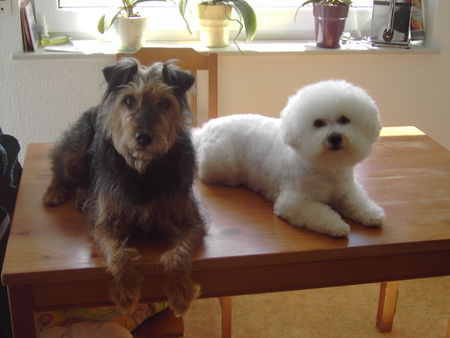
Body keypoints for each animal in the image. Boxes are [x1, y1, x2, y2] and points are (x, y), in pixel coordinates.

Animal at [41, 58, 207, 316]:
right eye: (129, 100)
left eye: (164, 103)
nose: (143, 137)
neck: (143, 170)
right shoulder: (103, 223)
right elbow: (118, 254)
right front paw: (126, 291)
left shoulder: (192, 220)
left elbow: (179, 253)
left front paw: (180, 292)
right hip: (76, 148)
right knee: (59, 167)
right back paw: (55, 192)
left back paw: (83, 197)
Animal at [193, 80, 384, 236]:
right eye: (318, 123)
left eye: (344, 119)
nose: (335, 137)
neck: (327, 169)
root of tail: (207, 128)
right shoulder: (294, 202)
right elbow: (320, 214)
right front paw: (337, 225)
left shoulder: (347, 191)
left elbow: (359, 202)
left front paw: (372, 213)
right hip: (220, 164)